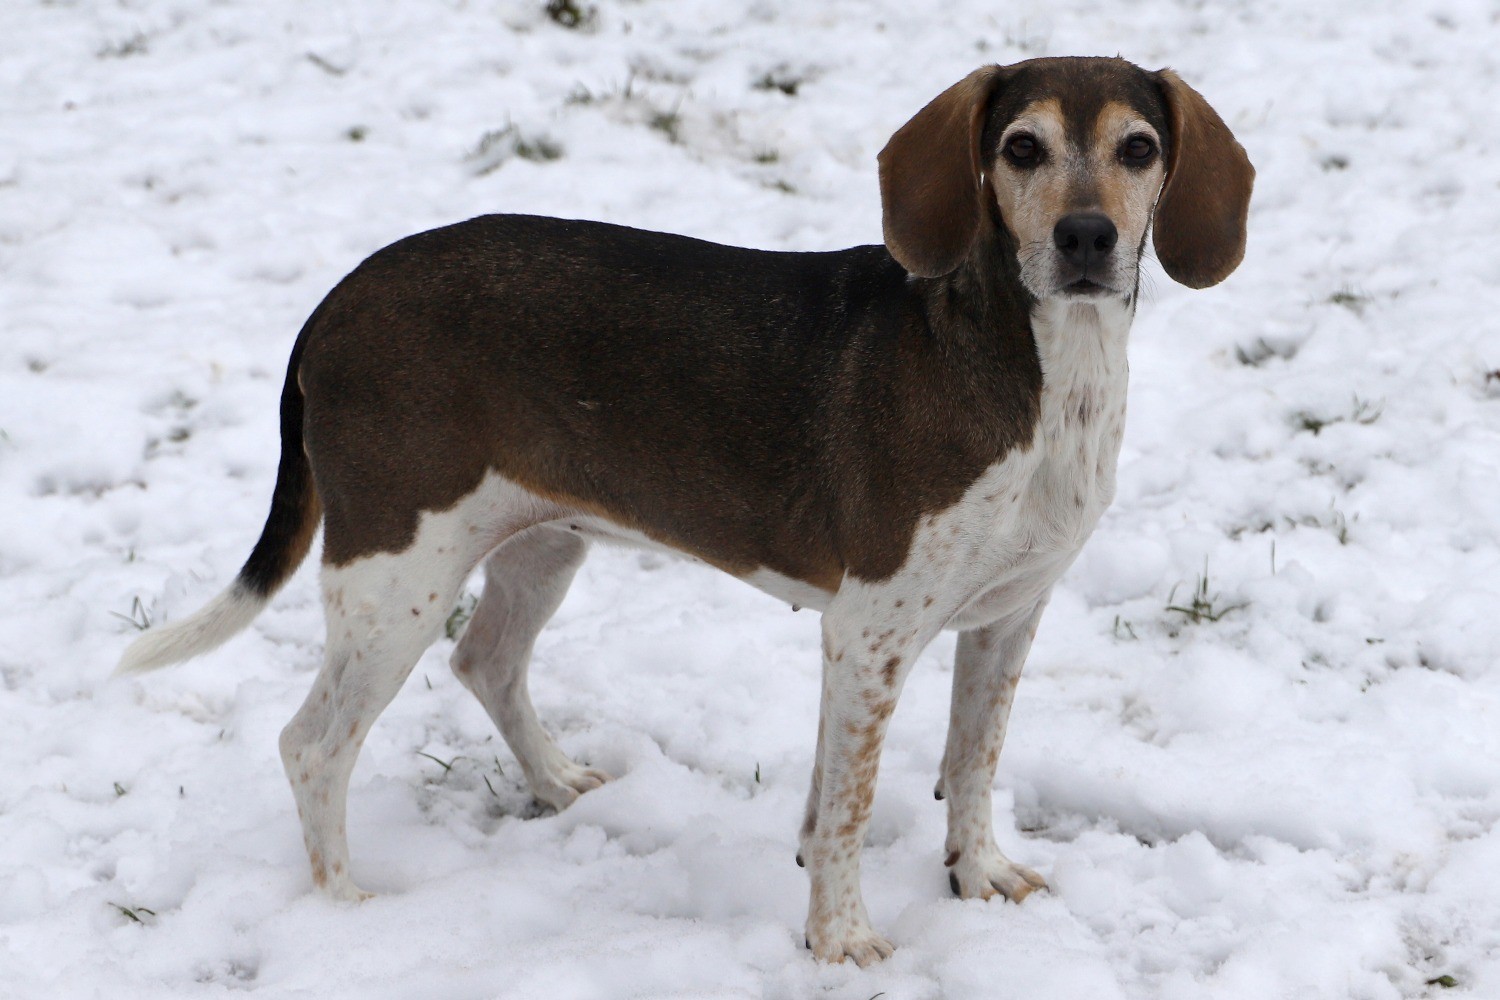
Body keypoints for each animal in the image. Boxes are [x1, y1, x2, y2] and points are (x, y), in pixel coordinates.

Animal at [120, 58, 1254, 965]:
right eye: (1022, 148)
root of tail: (337, 299)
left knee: (484, 661)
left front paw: (977, 878)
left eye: (1140, 147)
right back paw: (344, 913)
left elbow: (970, 764)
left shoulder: (1008, 617)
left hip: (536, 544)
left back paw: (556, 782)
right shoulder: (870, 634)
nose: (1086, 236)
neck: (1044, 371)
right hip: (395, 575)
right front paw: (840, 940)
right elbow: (847, 809)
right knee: (312, 746)